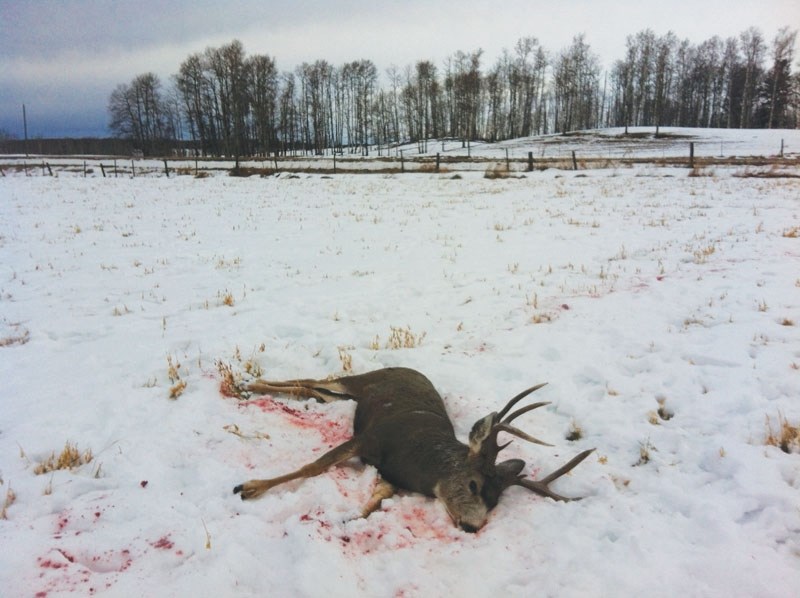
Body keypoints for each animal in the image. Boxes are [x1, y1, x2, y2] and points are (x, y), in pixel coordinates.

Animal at [233, 370, 592, 536]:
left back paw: (254, 386)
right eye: (473, 485)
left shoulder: (392, 476)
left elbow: (379, 499)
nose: (472, 526)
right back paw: (253, 384)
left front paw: (350, 519)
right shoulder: (369, 438)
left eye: (495, 503)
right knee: (311, 379)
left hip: (343, 397)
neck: (417, 463)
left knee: (311, 389)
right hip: (354, 382)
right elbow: (315, 465)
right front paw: (250, 487)